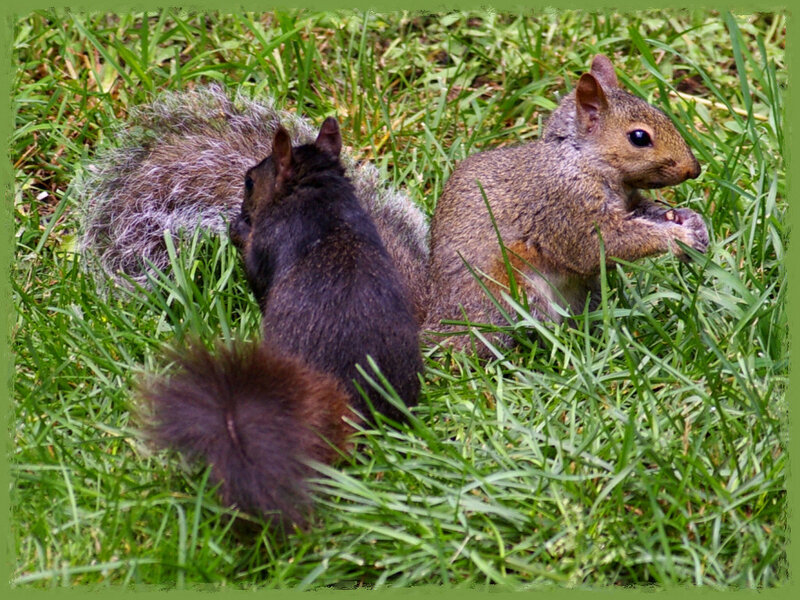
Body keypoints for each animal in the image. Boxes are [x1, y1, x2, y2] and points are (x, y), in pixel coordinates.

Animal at [140, 117, 423, 530]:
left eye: (250, 181)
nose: (241, 208)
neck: (318, 195)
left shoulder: (269, 243)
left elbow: (256, 271)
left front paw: (237, 229)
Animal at [423, 54, 709, 353]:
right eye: (639, 137)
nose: (694, 169)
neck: (581, 160)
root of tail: (436, 325)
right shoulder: (566, 206)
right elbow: (602, 245)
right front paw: (676, 237)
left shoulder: (628, 202)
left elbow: (646, 213)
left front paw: (691, 221)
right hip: (511, 294)